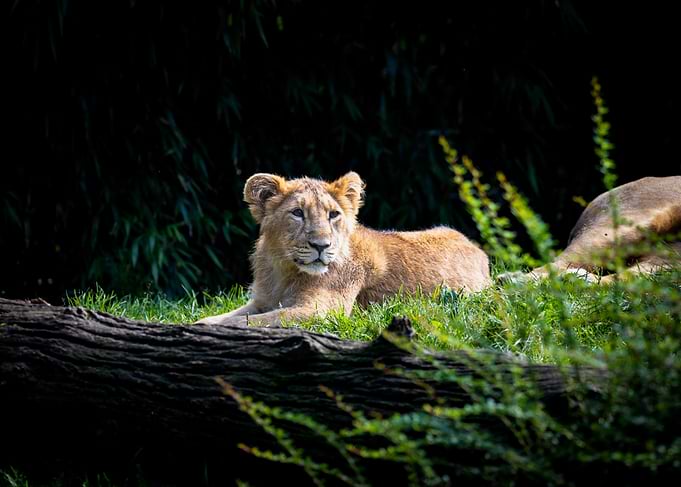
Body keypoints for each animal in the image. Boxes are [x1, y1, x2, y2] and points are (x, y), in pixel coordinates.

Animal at [196, 172, 491, 326]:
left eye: (333, 214)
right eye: (297, 213)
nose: (321, 245)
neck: (284, 271)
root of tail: (476, 248)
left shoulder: (323, 311)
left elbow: (251, 322)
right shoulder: (260, 301)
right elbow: (223, 317)